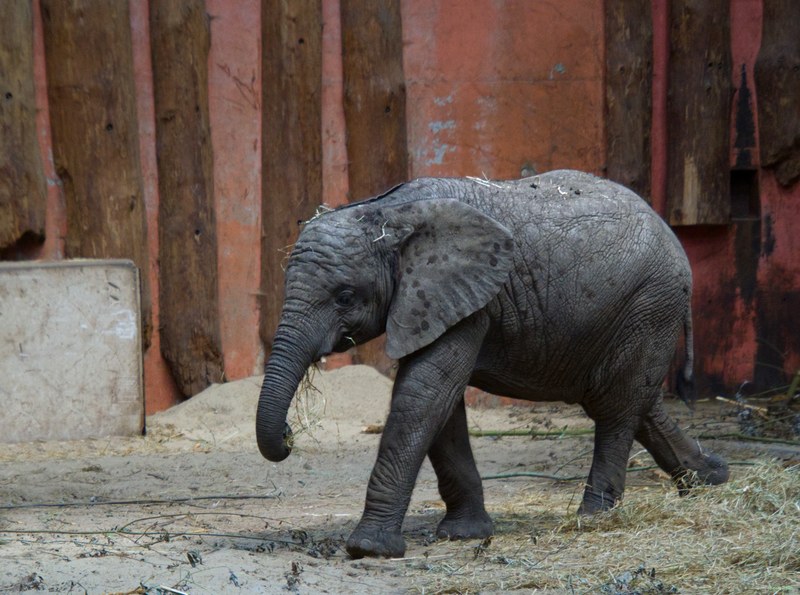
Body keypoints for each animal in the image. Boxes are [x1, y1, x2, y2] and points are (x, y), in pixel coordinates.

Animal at [255, 170, 729, 559]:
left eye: (345, 297)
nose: (289, 434)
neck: (390, 213)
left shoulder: (469, 299)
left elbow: (424, 394)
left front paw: (368, 549)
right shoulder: (438, 302)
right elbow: (440, 404)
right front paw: (465, 534)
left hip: (649, 303)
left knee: (615, 407)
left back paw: (594, 518)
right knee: (637, 399)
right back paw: (711, 479)